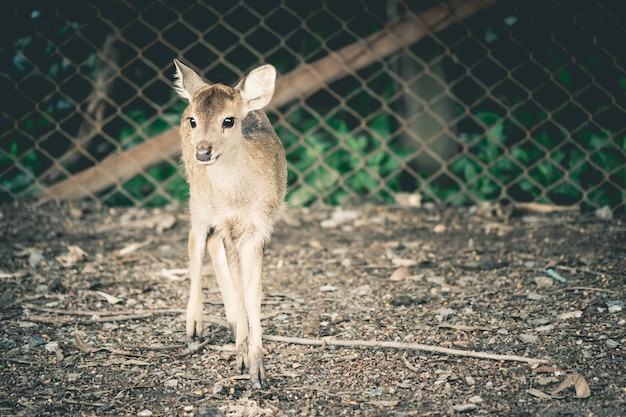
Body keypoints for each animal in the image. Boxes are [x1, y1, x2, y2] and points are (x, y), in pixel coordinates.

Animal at [172, 60, 286, 388]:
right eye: (194, 120)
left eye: (229, 121)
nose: (203, 152)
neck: (239, 199)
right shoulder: (227, 223)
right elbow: (239, 288)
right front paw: (243, 359)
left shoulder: (259, 226)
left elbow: (253, 293)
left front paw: (256, 368)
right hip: (197, 197)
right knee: (195, 242)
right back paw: (193, 327)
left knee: (209, 244)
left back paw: (233, 322)